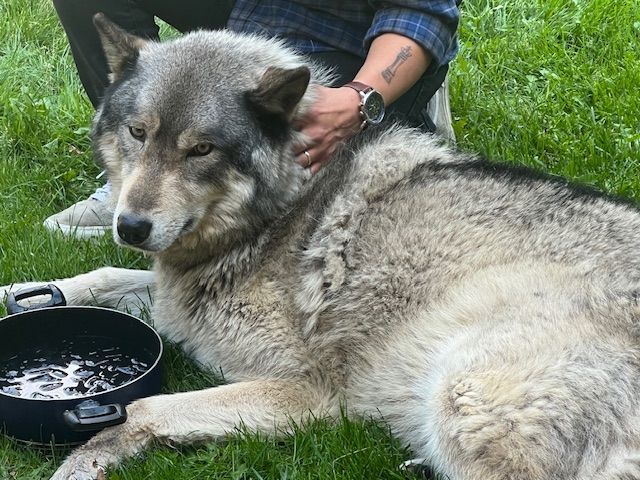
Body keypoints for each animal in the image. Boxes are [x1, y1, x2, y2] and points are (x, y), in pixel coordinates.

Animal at [4, 13, 640, 480]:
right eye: (138, 133)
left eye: (201, 150)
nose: (130, 226)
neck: (285, 208)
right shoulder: (172, 299)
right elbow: (103, 276)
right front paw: (19, 288)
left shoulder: (310, 393)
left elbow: (142, 407)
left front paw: (88, 457)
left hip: (461, 399)